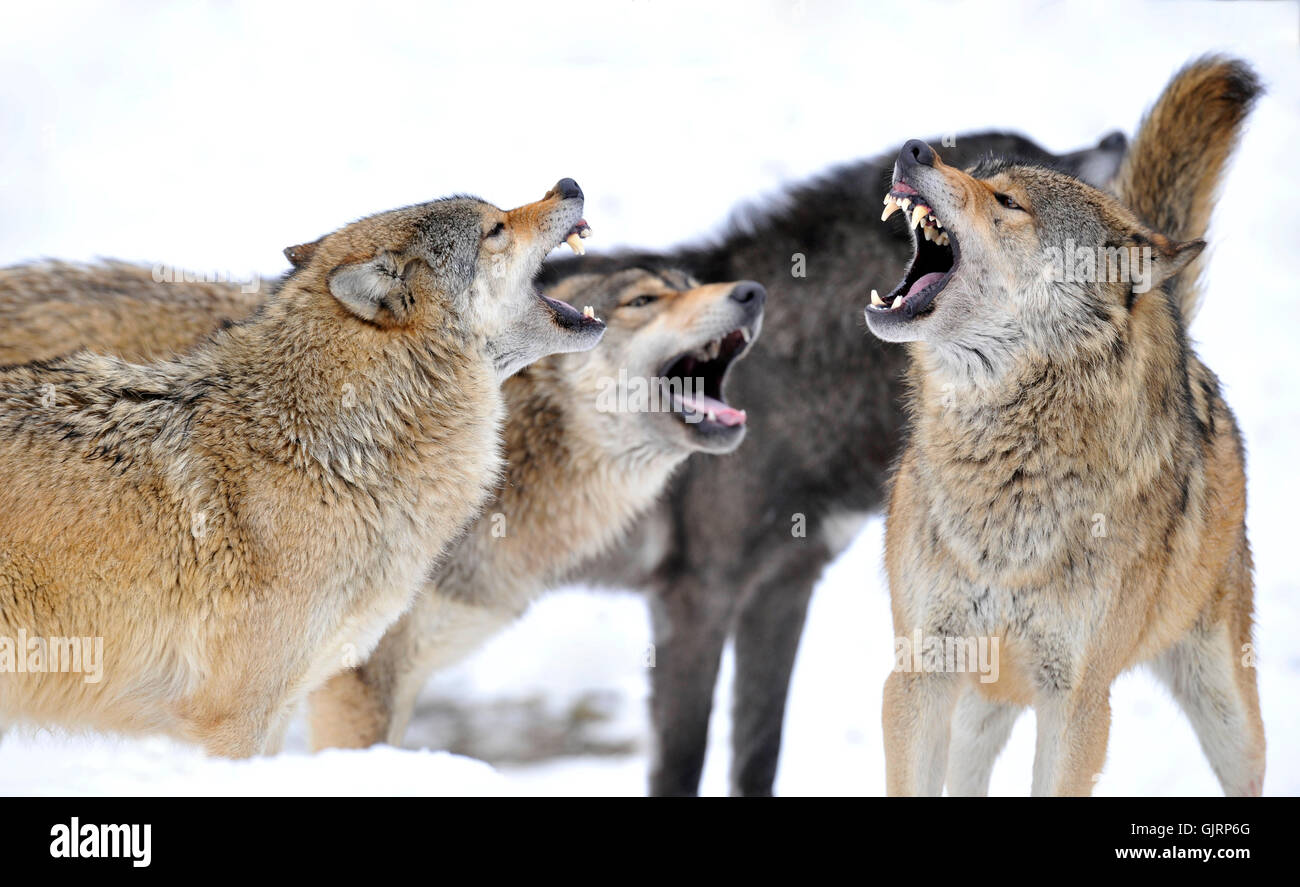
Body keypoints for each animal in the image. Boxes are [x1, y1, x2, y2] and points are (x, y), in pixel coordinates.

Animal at [868, 62, 1263, 795]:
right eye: (981, 174)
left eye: (1007, 201)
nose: (914, 149)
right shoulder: (919, 674)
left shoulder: (1078, 701)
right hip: (979, 703)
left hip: (1229, 715)